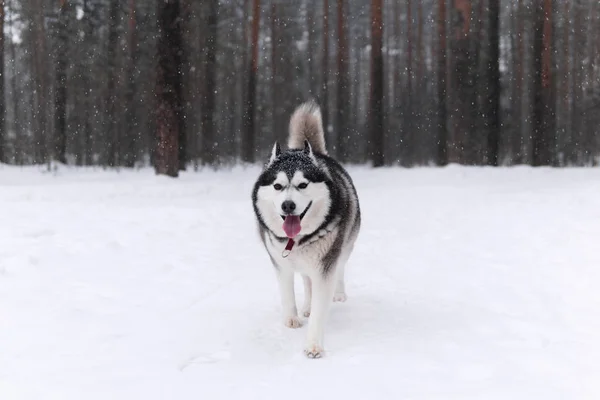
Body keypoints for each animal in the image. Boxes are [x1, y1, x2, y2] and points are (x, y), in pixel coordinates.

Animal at [252, 101, 360, 358]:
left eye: (303, 184)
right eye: (277, 186)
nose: (288, 205)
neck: (297, 239)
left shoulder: (325, 266)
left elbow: (322, 305)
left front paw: (313, 344)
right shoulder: (280, 262)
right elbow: (287, 292)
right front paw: (292, 318)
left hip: (345, 247)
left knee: (340, 269)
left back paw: (339, 294)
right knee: (306, 280)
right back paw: (307, 306)